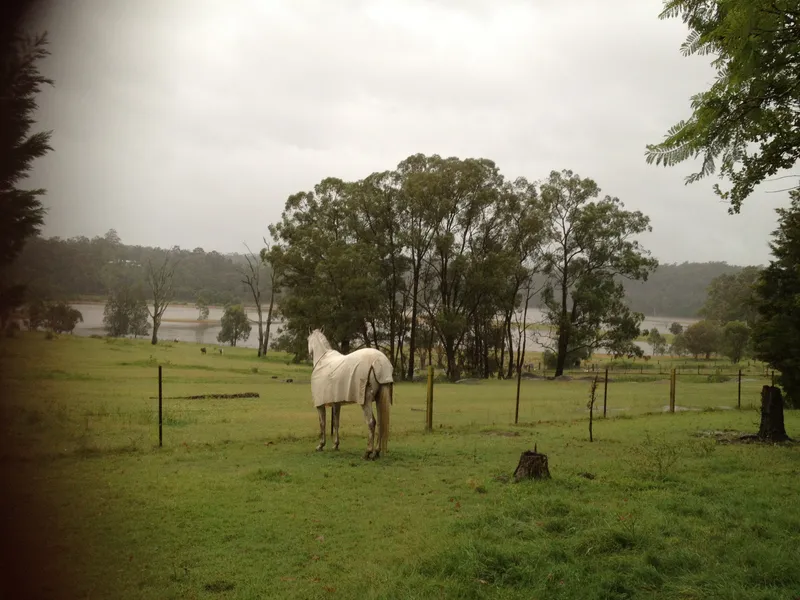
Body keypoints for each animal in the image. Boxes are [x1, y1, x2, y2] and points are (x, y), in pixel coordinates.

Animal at [307, 329, 394, 460]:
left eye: (308, 340)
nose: (309, 353)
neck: (323, 360)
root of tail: (378, 362)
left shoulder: (320, 404)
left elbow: (322, 423)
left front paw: (321, 445)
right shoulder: (336, 403)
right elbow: (336, 423)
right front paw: (335, 445)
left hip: (366, 401)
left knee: (371, 422)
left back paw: (368, 452)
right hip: (379, 399)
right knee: (380, 423)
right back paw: (377, 452)